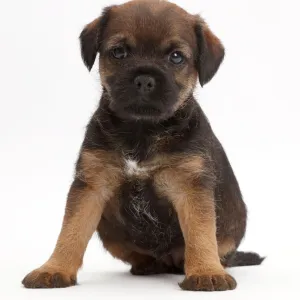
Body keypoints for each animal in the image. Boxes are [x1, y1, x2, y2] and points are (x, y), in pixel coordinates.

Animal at [22, 0, 264, 290]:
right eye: (119, 52)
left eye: (176, 57)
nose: (145, 79)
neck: (142, 131)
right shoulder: (91, 186)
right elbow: (72, 230)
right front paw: (54, 268)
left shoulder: (191, 188)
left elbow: (200, 233)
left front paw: (206, 271)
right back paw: (147, 266)